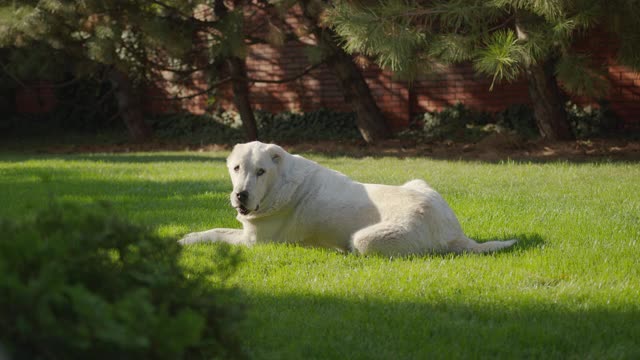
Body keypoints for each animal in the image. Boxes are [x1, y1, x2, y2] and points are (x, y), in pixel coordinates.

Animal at [178, 141, 516, 256]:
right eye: (237, 168)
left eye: (261, 171)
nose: (241, 195)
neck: (279, 185)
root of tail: (454, 234)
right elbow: (213, 229)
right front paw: (185, 236)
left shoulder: (254, 242)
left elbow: (217, 234)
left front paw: (185, 241)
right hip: (420, 182)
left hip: (365, 240)